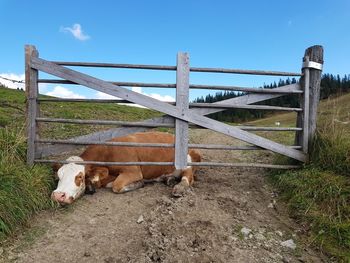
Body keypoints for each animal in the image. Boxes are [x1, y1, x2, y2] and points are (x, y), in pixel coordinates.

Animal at [50, 132, 201, 206]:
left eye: (79, 177)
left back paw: (179, 187)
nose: (58, 195)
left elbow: (116, 186)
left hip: (187, 160)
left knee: (188, 177)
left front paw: (140, 183)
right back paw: (168, 179)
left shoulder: (133, 171)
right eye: (58, 176)